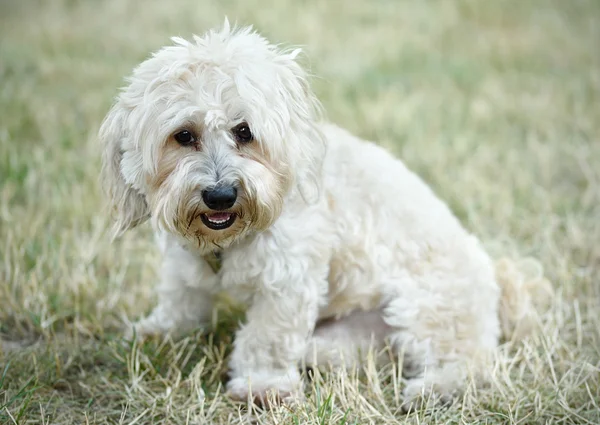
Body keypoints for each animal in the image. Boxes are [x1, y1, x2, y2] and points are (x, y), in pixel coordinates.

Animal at [101, 21, 536, 410]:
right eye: (183, 135)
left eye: (244, 132)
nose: (221, 196)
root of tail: (496, 282)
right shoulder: (184, 265)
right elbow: (180, 300)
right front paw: (155, 331)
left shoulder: (288, 280)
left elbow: (267, 337)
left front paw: (263, 386)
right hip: (366, 330)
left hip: (428, 309)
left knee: (468, 363)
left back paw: (432, 391)